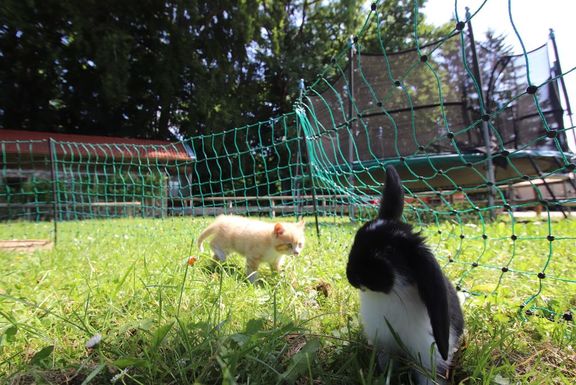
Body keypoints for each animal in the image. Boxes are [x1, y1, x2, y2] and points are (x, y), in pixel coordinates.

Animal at [346, 165, 464, 384]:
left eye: (389, 251)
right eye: (358, 237)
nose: (353, 276)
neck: (391, 295)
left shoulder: (428, 356)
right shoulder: (385, 347)